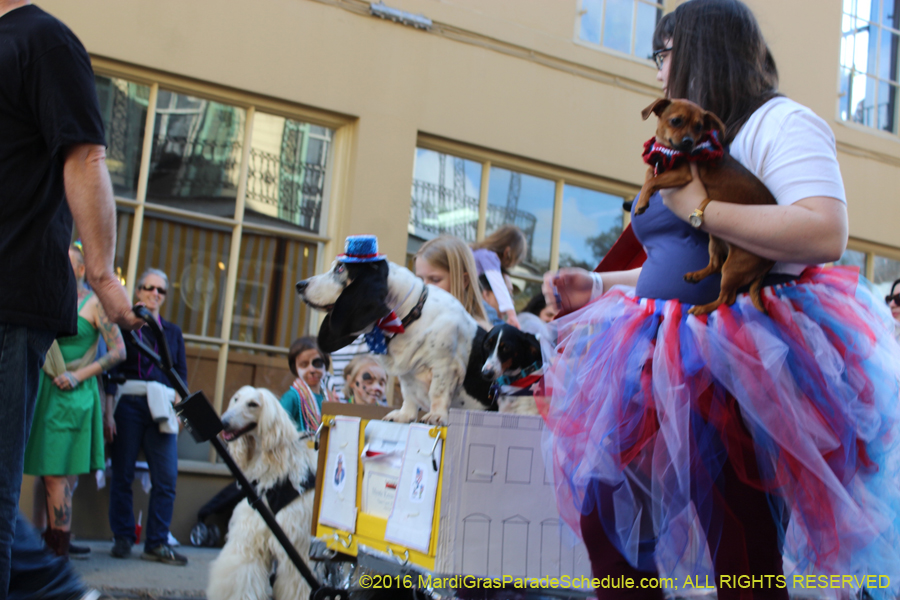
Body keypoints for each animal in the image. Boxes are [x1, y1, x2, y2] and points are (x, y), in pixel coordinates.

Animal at [206, 384, 318, 600]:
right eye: (236, 399)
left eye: (253, 404)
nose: (223, 422)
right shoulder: (250, 538)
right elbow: (242, 577)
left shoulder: (298, 548)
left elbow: (299, 586)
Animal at [632, 98, 772, 316]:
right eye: (676, 121)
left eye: (699, 127)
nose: (689, 141)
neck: (669, 152)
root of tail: (770, 262)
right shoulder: (661, 167)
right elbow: (650, 176)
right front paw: (645, 196)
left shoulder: (682, 174)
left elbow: (651, 182)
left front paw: (642, 202)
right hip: (715, 240)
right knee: (715, 264)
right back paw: (696, 275)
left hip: (734, 266)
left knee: (727, 297)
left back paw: (702, 308)